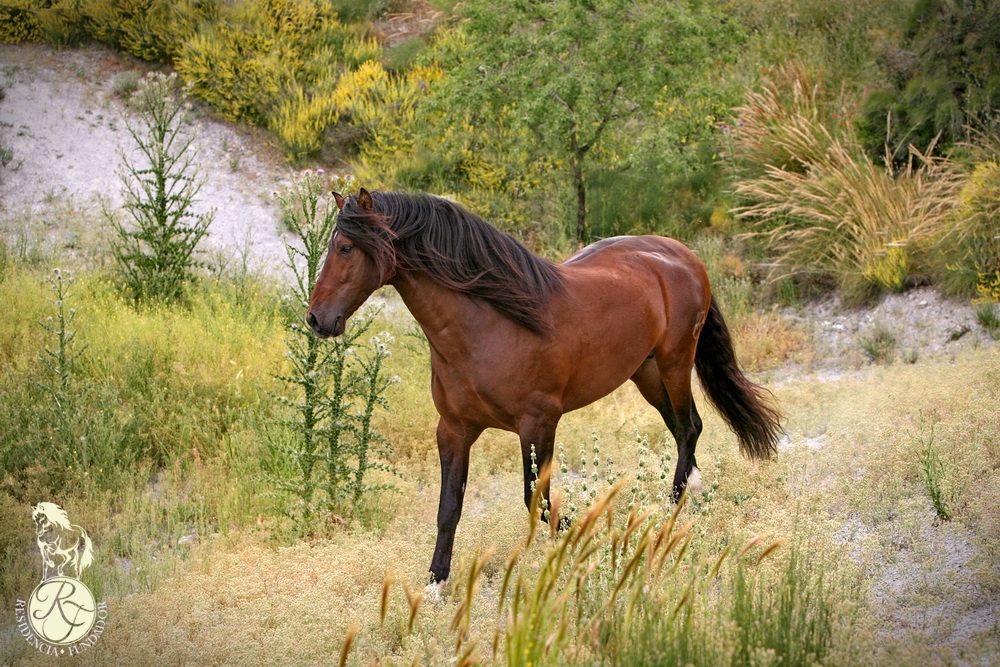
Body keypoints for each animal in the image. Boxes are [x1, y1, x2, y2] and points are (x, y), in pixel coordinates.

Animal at [307, 188, 782, 586]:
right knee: (686, 427)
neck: (489, 324)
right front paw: (436, 582)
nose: (316, 319)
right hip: (645, 372)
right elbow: (449, 508)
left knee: (687, 426)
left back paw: (672, 506)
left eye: (345, 247)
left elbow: (538, 501)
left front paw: (577, 536)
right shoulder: (454, 430)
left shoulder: (538, 425)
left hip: (675, 361)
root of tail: (682, 254)